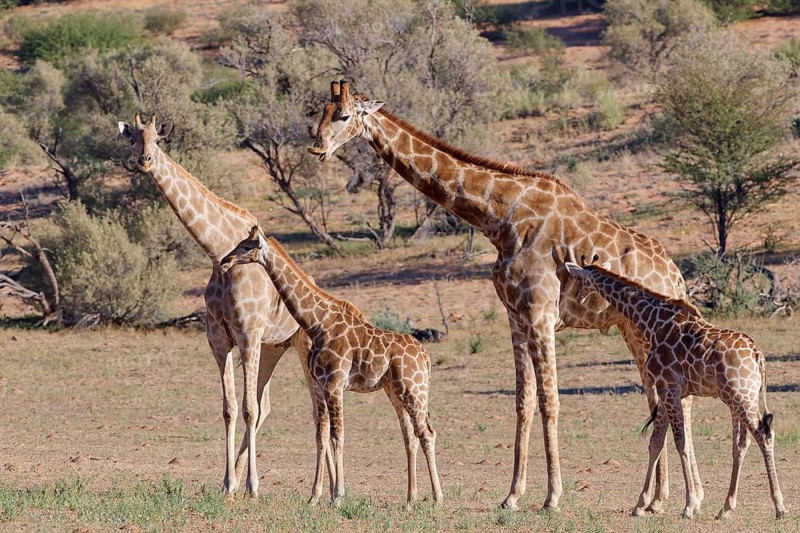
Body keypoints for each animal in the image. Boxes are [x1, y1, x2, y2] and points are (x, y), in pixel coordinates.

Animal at [117, 114, 331, 498]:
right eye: (132, 140)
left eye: (158, 139)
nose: (145, 161)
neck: (218, 253)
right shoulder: (220, 340)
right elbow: (231, 409)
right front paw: (229, 482)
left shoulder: (248, 335)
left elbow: (247, 409)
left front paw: (253, 486)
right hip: (275, 347)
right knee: (270, 405)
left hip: (304, 349)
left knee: (318, 412)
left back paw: (320, 491)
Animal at [220, 226, 443, 507]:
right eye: (240, 243)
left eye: (247, 246)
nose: (224, 261)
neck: (316, 323)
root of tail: (425, 357)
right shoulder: (320, 383)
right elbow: (322, 434)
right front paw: (315, 496)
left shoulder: (335, 383)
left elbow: (339, 436)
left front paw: (338, 496)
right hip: (394, 391)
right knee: (410, 435)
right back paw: (410, 498)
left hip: (414, 389)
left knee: (427, 432)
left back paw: (437, 498)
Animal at [307, 80, 702, 511]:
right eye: (319, 113)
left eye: (345, 116)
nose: (317, 148)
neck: (500, 218)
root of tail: (677, 277)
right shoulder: (515, 315)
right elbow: (523, 401)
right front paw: (512, 495)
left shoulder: (541, 314)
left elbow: (550, 400)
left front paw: (552, 496)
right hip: (632, 332)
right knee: (659, 401)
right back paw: (653, 499)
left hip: (652, 335)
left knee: (676, 401)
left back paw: (687, 497)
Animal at [565, 262, 786, 520]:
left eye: (578, 280)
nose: (576, 296)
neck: (652, 321)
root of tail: (758, 355)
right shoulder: (666, 390)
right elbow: (656, 442)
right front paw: (640, 505)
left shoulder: (668, 386)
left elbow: (680, 442)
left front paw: (688, 506)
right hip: (740, 398)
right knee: (742, 444)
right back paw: (726, 508)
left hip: (741, 396)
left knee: (764, 436)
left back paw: (780, 506)